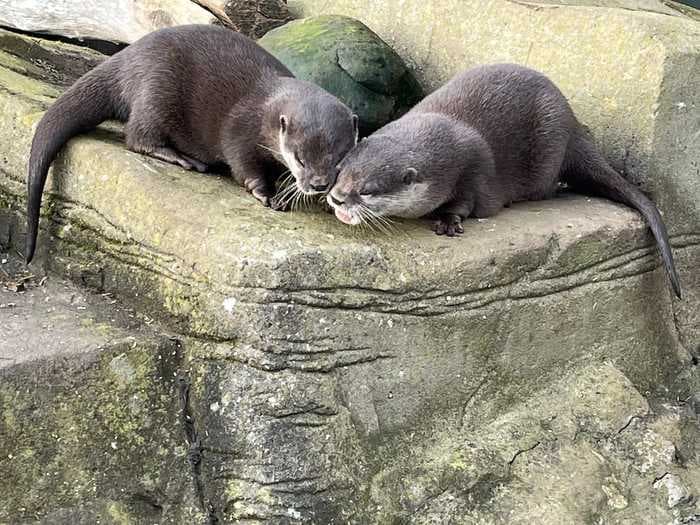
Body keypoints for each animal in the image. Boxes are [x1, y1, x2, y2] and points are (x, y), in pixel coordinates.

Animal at [24, 24, 358, 262]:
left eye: (338, 161)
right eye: (299, 158)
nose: (318, 184)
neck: (266, 108)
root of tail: (127, 57)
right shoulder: (240, 130)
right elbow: (243, 165)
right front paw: (266, 193)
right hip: (156, 90)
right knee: (137, 136)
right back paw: (182, 158)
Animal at [330, 63, 680, 296]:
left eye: (368, 190)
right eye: (340, 169)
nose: (336, 197)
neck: (442, 132)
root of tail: (573, 124)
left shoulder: (473, 169)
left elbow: (466, 202)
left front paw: (447, 220)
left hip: (549, 145)